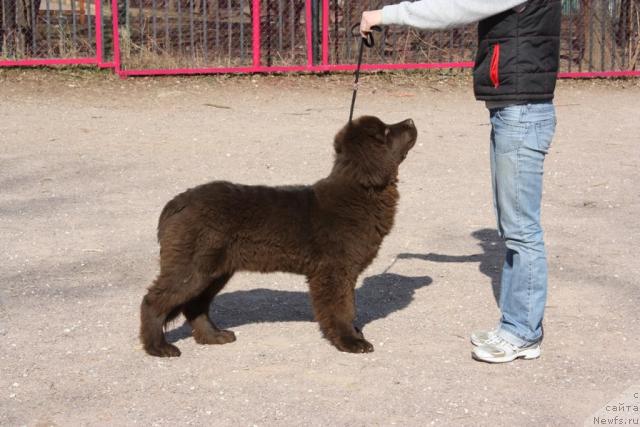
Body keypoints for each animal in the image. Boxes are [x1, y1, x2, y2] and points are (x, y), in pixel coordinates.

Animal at [140, 116, 418, 358]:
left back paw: (214, 336)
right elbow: (342, 308)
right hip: (191, 268)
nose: (410, 121)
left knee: (195, 306)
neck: (361, 193)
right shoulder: (334, 272)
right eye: (385, 131)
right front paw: (350, 341)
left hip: (214, 271)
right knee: (153, 301)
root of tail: (176, 203)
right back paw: (158, 347)